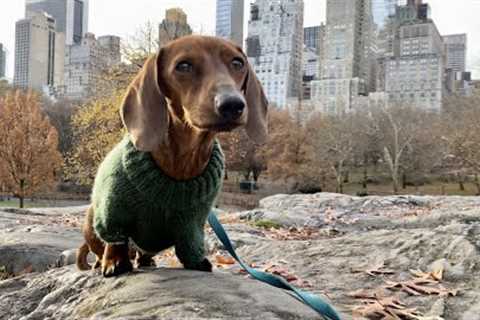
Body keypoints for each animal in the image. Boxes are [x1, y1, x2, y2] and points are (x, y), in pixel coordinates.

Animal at [77, 34, 268, 276]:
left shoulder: (192, 222)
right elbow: (116, 239)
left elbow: (190, 243)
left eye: (237, 63)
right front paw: (114, 261)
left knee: (144, 252)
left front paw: (196, 261)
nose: (232, 104)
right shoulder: (114, 213)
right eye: (183, 66)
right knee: (104, 247)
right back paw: (102, 261)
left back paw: (146, 260)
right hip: (91, 223)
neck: (183, 159)